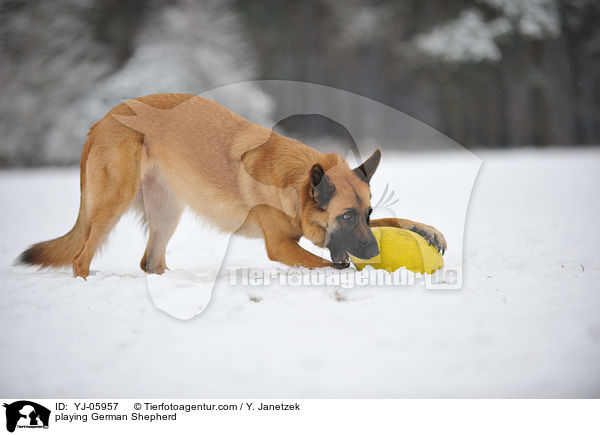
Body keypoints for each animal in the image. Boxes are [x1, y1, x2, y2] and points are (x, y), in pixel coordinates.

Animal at [17, 95, 446, 280]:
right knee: (80, 258)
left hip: (168, 212)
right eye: (345, 216)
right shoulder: (281, 246)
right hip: (113, 204)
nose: (374, 252)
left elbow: (393, 221)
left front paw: (427, 231)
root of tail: (101, 121)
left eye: (366, 213)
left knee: (150, 261)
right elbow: (329, 265)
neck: (294, 184)